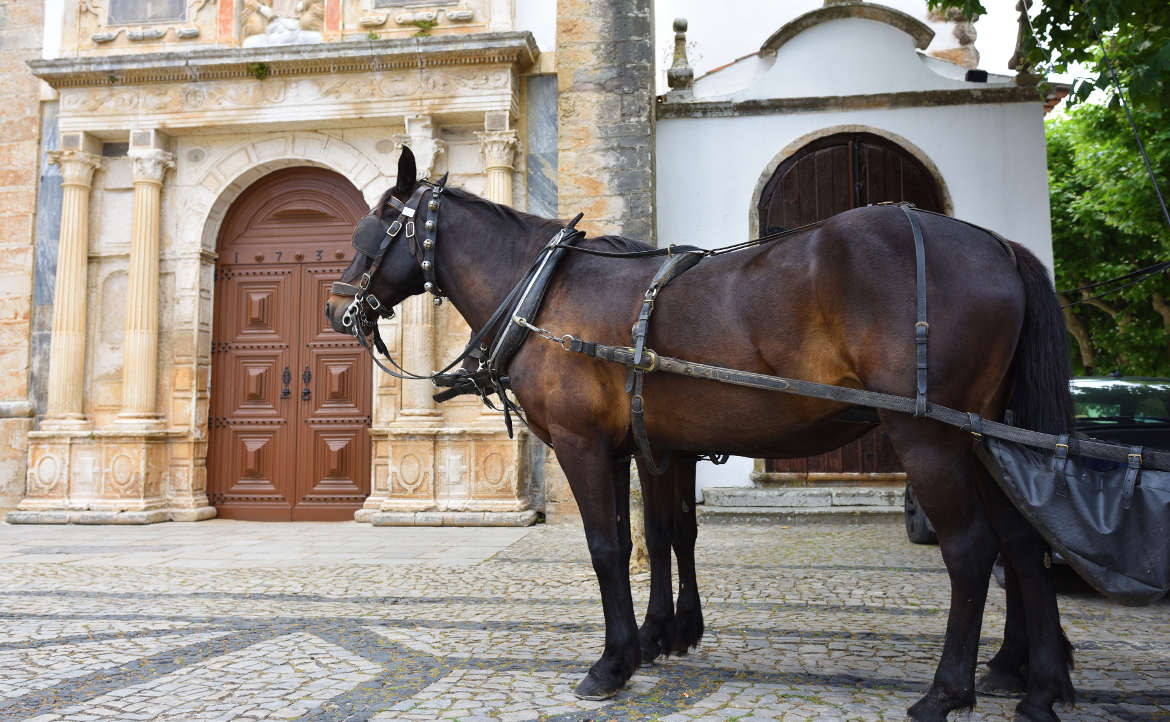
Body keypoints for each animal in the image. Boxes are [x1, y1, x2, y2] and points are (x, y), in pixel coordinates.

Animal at [325, 148, 1071, 720]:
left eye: (370, 233)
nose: (337, 310)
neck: (544, 290)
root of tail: (996, 245)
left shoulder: (583, 446)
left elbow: (609, 546)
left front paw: (615, 659)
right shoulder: (654, 446)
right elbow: (666, 533)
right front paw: (666, 633)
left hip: (931, 439)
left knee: (972, 550)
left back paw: (949, 690)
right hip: (985, 436)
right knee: (1021, 541)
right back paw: (1031, 675)